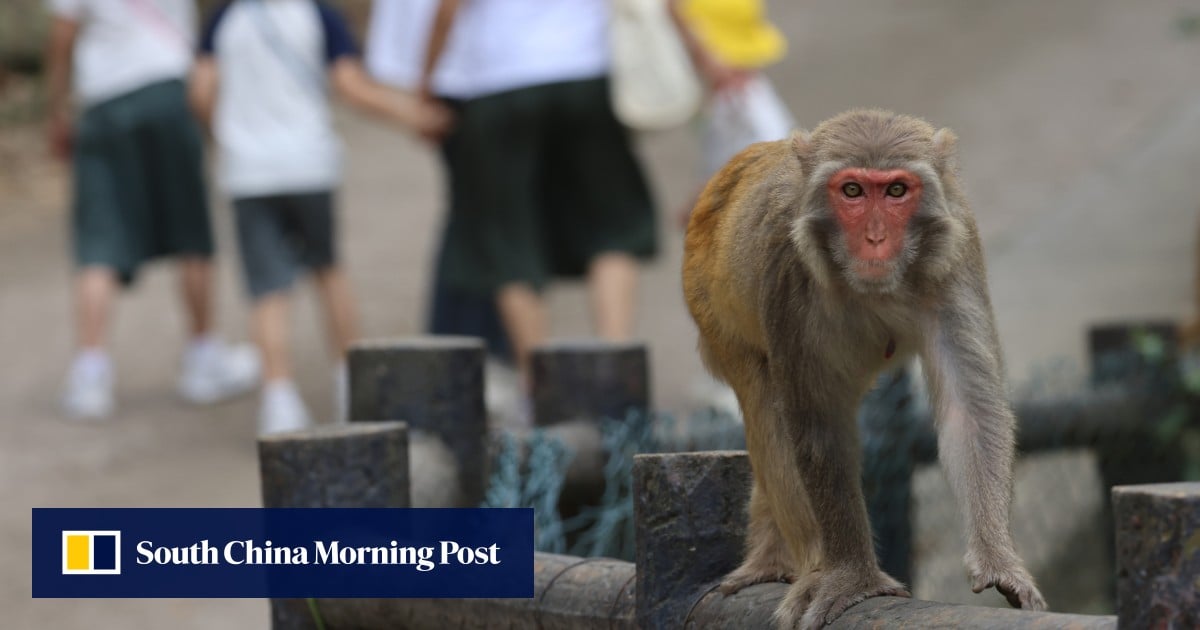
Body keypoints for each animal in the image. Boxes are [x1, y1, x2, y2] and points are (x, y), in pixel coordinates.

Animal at [686, 110, 1051, 624]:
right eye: (853, 191)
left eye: (896, 190)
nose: (875, 239)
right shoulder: (786, 265)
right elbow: (818, 432)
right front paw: (851, 578)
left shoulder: (956, 251)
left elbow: (971, 410)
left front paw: (999, 561)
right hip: (712, 311)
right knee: (768, 408)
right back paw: (801, 567)